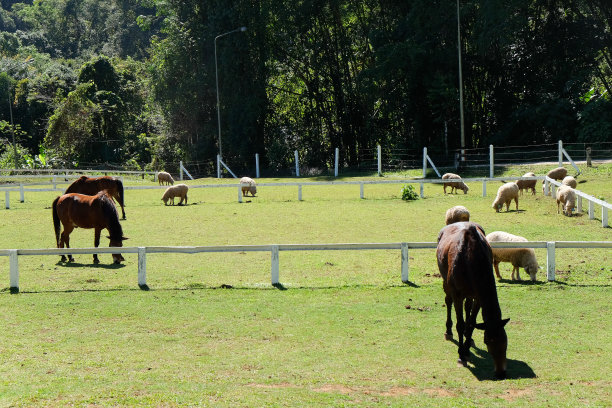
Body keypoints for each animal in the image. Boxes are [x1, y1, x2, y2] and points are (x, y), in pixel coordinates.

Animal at [438, 223, 510, 380]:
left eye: (505, 341)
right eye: (488, 341)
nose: (501, 373)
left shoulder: (478, 298)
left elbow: (471, 323)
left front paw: (466, 349)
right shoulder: (457, 295)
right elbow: (460, 324)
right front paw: (461, 355)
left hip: (470, 294)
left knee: (467, 307)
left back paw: (468, 340)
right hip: (446, 284)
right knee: (448, 302)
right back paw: (448, 331)